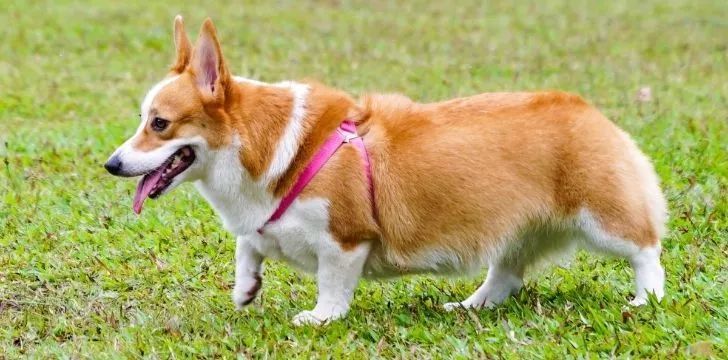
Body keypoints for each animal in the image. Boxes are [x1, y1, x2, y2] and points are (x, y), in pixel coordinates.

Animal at [105, 16, 668, 326]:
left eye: (159, 123)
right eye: (141, 119)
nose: (112, 164)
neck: (260, 144)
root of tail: (591, 111)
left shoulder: (344, 240)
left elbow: (332, 285)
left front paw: (320, 318)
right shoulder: (263, 223)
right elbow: (249, 245)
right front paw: (246, 288)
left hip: (602, 218)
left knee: (646, 249)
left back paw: (646, 300)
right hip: (515, 230)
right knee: (506, 273)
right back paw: (472, 306)